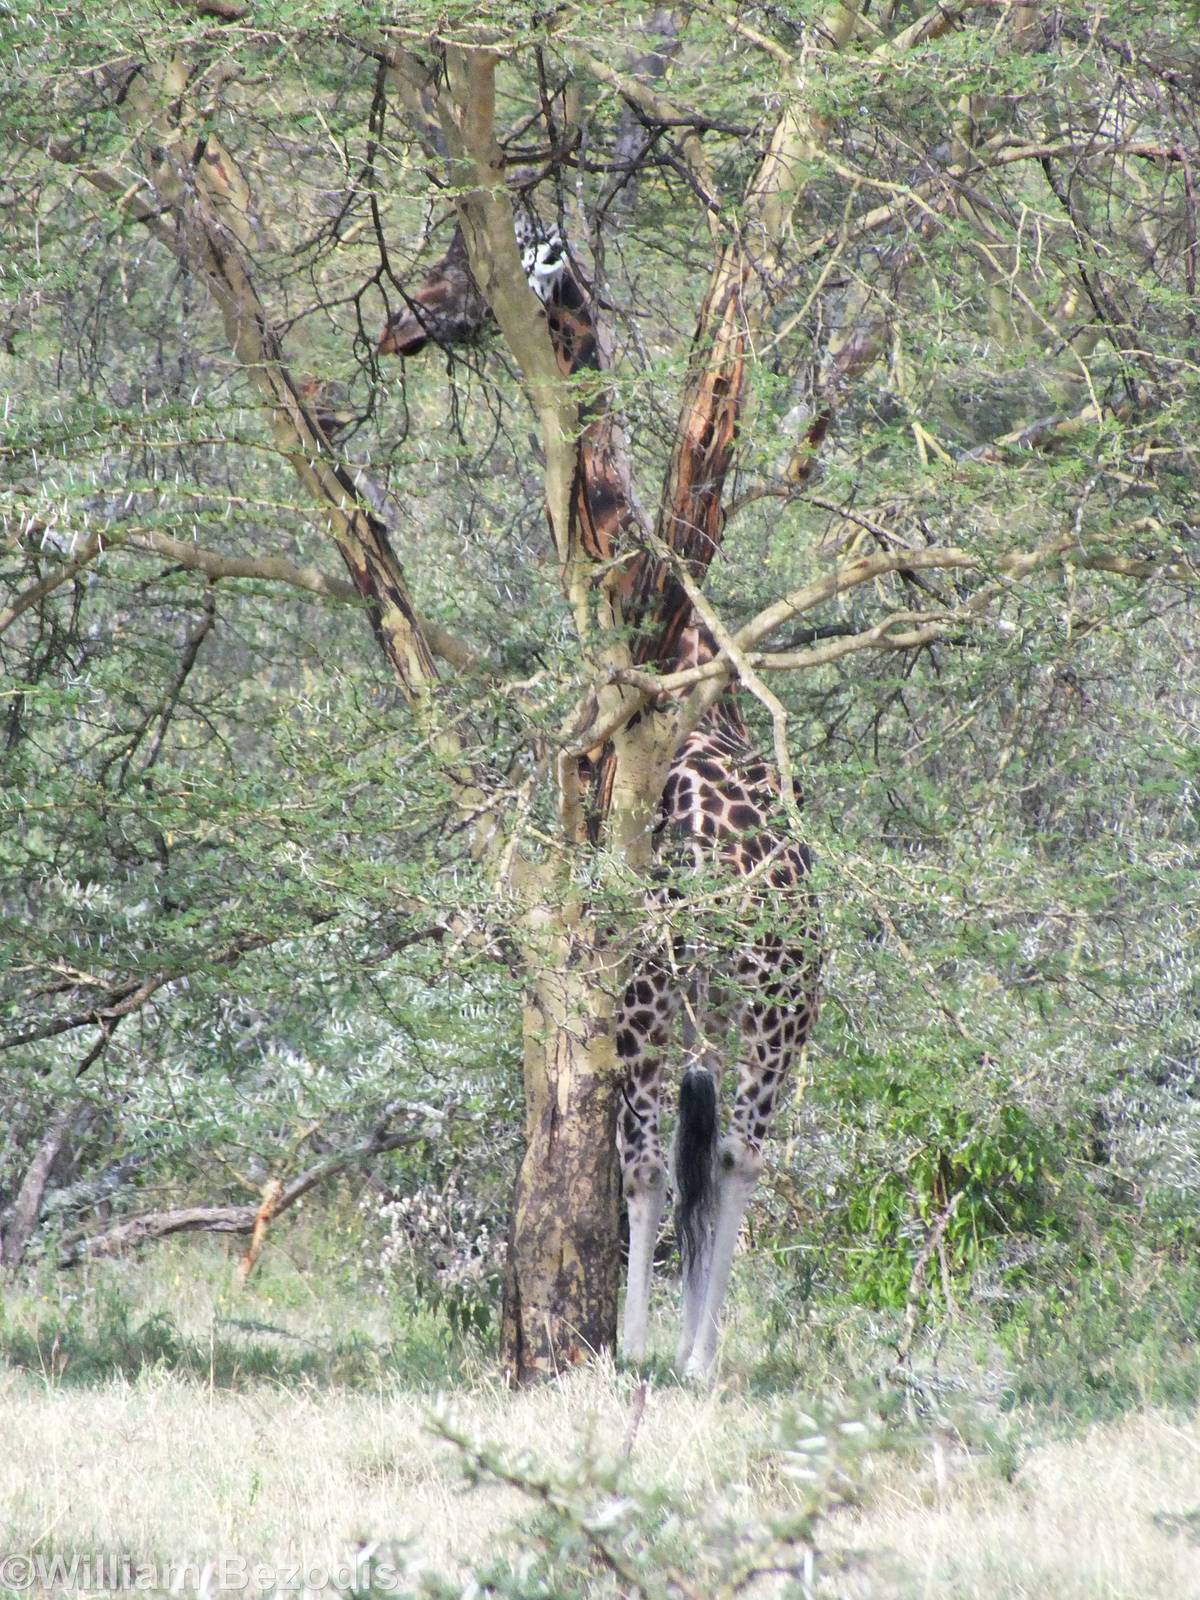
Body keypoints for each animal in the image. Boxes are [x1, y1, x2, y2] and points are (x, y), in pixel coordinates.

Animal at [380, 212, 819, 1377]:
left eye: (456, 269)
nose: (394, 324)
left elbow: (651, 1165)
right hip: (750, 1009)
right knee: (729, 1154)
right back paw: (690, 1352)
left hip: (698, 996)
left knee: (678, 1160)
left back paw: (660, 1350)